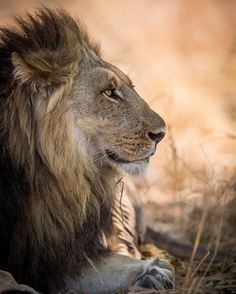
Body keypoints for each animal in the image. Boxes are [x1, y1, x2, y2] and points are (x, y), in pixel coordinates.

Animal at [0, 8, 173, 292]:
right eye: (109, 92)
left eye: (129, 87)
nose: (161, 134)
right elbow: (6, 277)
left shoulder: (62, 253)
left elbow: (108, 266)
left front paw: (153, 271)